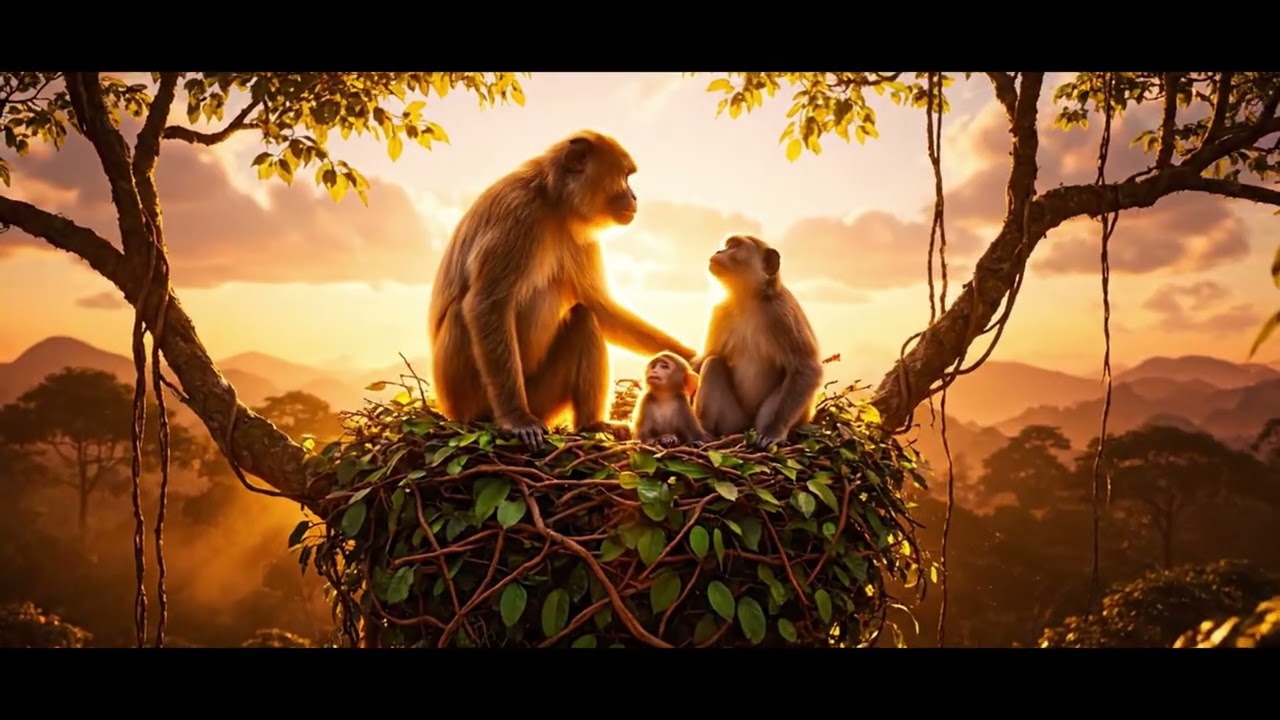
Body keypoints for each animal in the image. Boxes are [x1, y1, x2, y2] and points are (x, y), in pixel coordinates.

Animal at [427, 130, 698, 447]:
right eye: (625, 177)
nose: (634, 196)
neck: (552, 200)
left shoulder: (578, 231)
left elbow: (600, 306)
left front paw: (692, 357)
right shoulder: (519, 213)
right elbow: (486, 305)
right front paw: (517, 418)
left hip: (543, 399)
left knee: (584, 318)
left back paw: (591, 423)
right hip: (466, 397)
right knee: (462, 314)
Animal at [692, 234, 824, 450]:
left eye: (734, 246)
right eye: (727, 245)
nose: (719, 251)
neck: (746, 300)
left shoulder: (781, 313)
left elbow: (807, 368)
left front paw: (773, 432)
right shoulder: (720, 312)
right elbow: (705, 358)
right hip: (734, 422)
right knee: (713, 364)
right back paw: (707, 432)